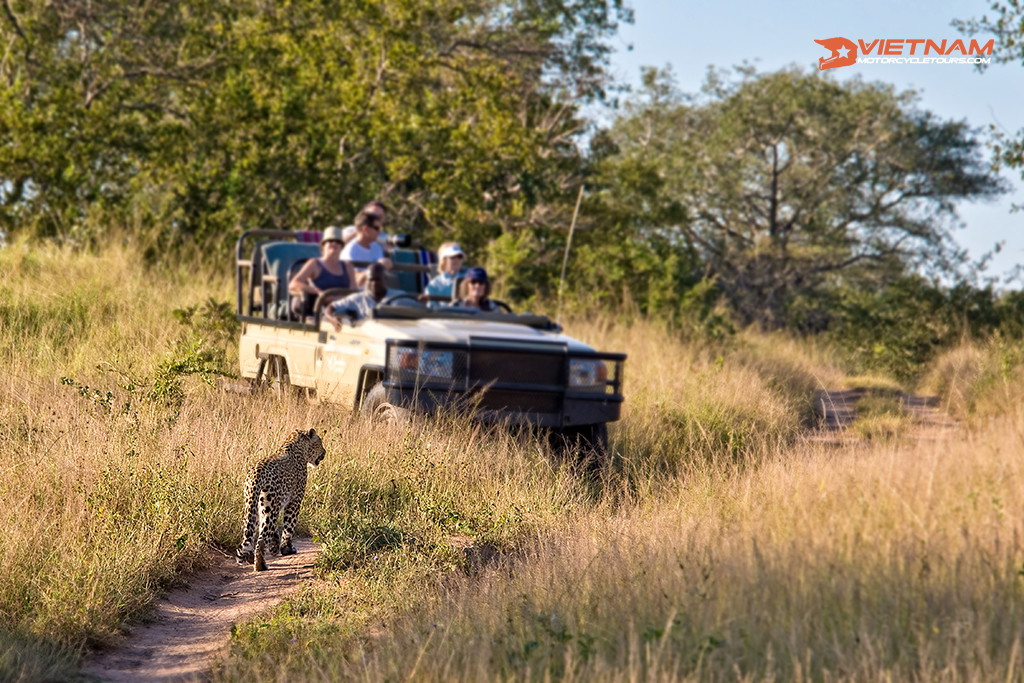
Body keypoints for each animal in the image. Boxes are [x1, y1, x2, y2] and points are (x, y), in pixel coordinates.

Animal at [234, 428, 323, 573]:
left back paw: (250, 557)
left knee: (251, 532)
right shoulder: (295, 501)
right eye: (320, 443)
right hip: (270, 505)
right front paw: (287, 549)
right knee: (261, 539)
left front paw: (274, 547)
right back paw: (260, 565)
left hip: (253, 506)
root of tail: (257, 474)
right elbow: (289, 526)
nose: (324, 452)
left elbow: (275, 529)